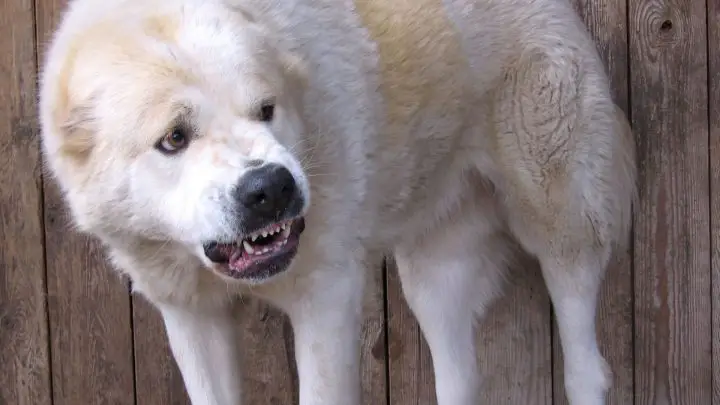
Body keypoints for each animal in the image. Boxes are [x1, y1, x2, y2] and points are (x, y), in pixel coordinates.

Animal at [38, 0, 636, 402]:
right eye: (174, 139)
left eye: (266, 109)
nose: (271, 187)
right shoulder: (192, 317)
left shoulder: (326, 300)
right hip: (434, 276)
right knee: (460, 376)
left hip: (559, 217)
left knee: (586, 359)